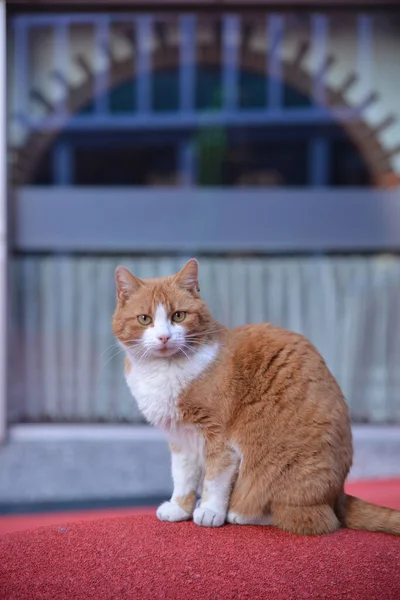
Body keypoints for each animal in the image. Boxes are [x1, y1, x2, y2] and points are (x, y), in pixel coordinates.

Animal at [111, 258, 400, 536]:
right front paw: (180, 508)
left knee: (307, 517)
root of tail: (338, 493)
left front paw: (209, 511)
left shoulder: (218, 436)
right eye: (144, 319)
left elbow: (215, 478)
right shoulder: (181, 437)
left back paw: (238, 513)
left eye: (178, 316)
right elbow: (182, 476)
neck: (164, 371)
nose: (163, 337)